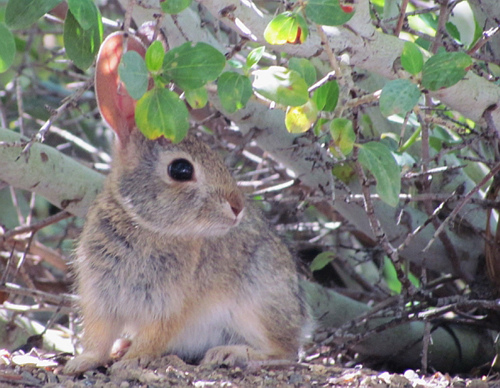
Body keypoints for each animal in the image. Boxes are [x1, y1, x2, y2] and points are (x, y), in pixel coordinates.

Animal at [62, 31, 310, 374]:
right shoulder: (100, 297)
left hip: (258, 300)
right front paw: (82, 362)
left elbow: (154, 336)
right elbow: (99, 338)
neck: (145, 225)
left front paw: (132, 361)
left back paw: (229, 354)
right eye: (181, 170)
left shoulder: (170, 307)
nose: (237, 207)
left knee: (285, 351)